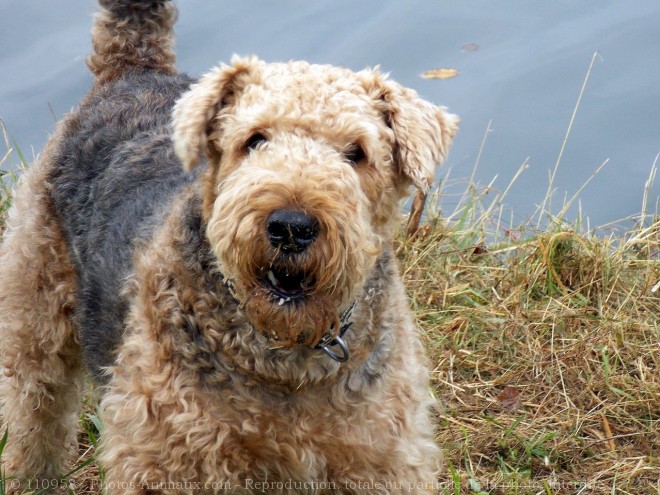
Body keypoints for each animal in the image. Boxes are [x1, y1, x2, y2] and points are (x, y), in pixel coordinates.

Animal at [0, 0, 456, 492]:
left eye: (357, 152)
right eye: (254, 139)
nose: (290, 226)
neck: (286, 361)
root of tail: (134, 69)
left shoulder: (383, 459)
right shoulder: (164, 460)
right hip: (33, 318)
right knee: (32, 416)